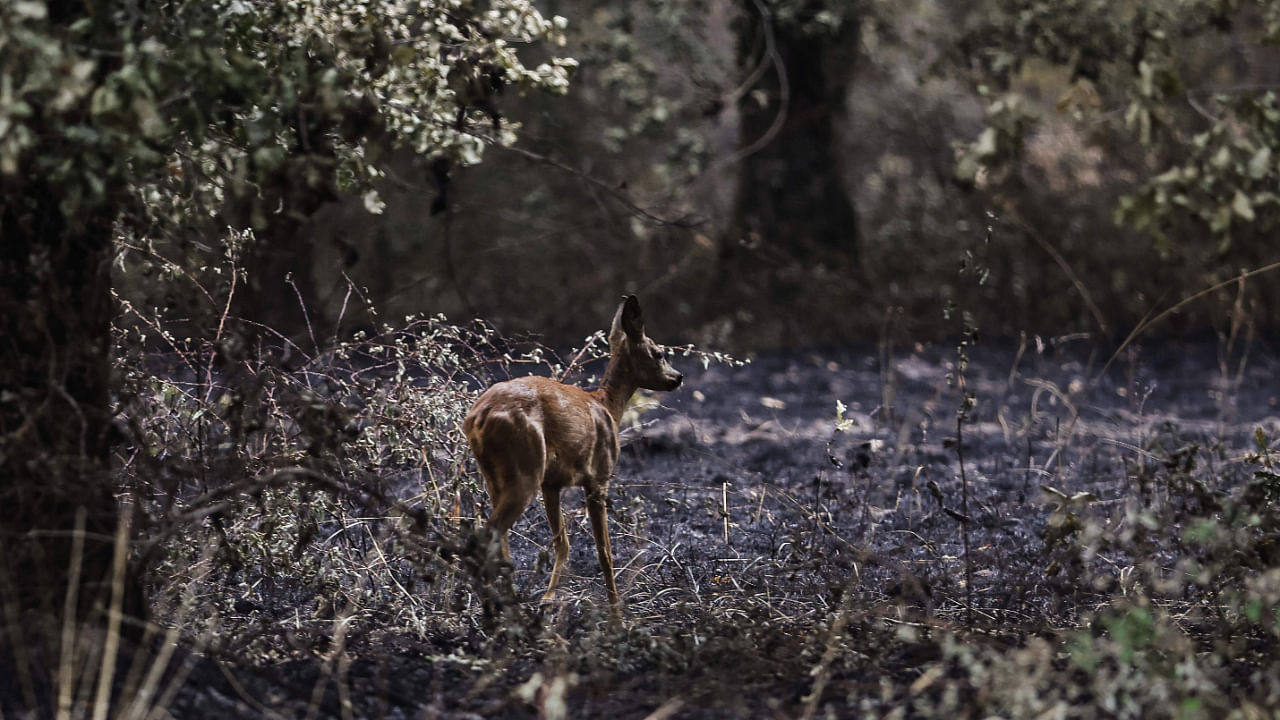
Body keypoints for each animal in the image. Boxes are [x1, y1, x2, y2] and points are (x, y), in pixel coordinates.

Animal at [465, 294, 686, 614]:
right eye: (659, 353)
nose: (678, 377)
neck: (608, 407)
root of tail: (479, 417)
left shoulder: (552, 484)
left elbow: (563, 543)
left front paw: (548, 600)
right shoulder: (597, 477)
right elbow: (604, 551)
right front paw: (616, 612)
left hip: (496, 476)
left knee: (500, 542)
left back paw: (504, 606)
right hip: (525, 469)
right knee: (486, 535)